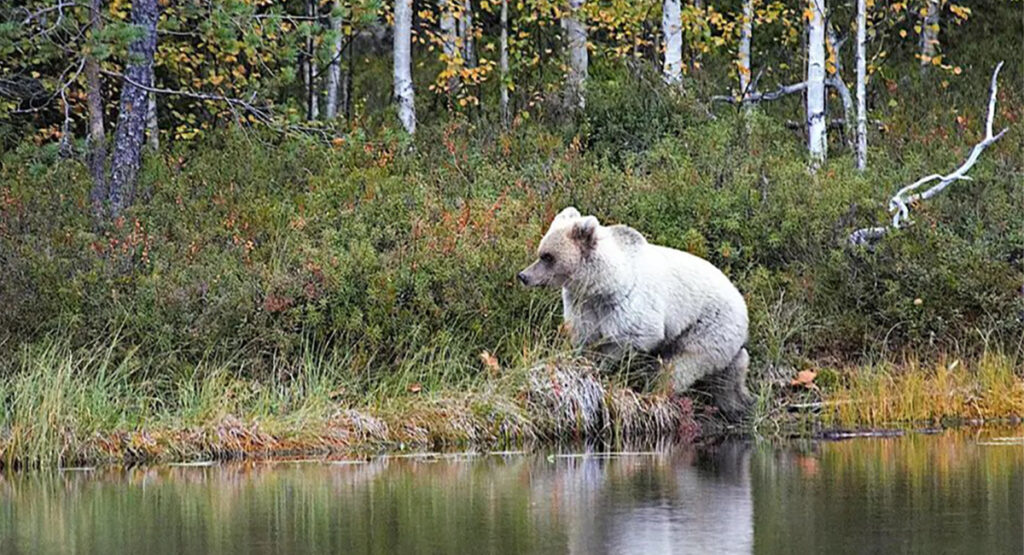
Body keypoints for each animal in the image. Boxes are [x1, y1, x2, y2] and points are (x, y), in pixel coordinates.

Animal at [520, 207, 753, 421]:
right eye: (541, 252)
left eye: (548, 256)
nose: (523, 276)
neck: (602, 286)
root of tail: (742, 304)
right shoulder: (583, 306)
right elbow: (584, 337)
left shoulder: (630, 309)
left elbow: (628, 339)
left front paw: (604, 366)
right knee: (729, 372)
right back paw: (736, 402)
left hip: (709, 326)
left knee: (682, 366)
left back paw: (656, 392)